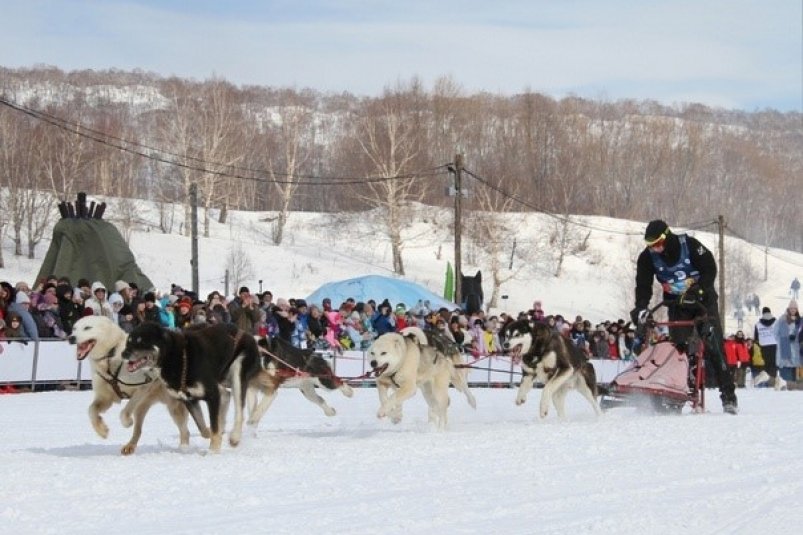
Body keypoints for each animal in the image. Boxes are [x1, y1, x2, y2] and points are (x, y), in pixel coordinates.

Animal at [68, 316, 209, 454]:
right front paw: (102, 430)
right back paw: (130, 446)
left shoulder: (143, 386)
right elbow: (91, 410)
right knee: (139, 430)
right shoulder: (105, 397)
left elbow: (124, 412)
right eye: (74, 328)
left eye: (87, 327)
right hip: (144, 407)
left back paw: (186, 445)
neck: (111, 355)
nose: (71, 338)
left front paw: (127, 422)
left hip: (173, 406)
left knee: (185, 430)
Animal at [122, 322, 260, 452]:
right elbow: (202, 427)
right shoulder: (188, 400)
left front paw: (213, 450)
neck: (178, 358)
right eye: (129, 341)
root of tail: (246, 333)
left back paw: (235, 437)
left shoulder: (212, 395)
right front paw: (211, 435)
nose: (124, 354)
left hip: (237, 373)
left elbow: (214, 425)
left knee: (239, 410)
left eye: (141, 341)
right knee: (226, 395)